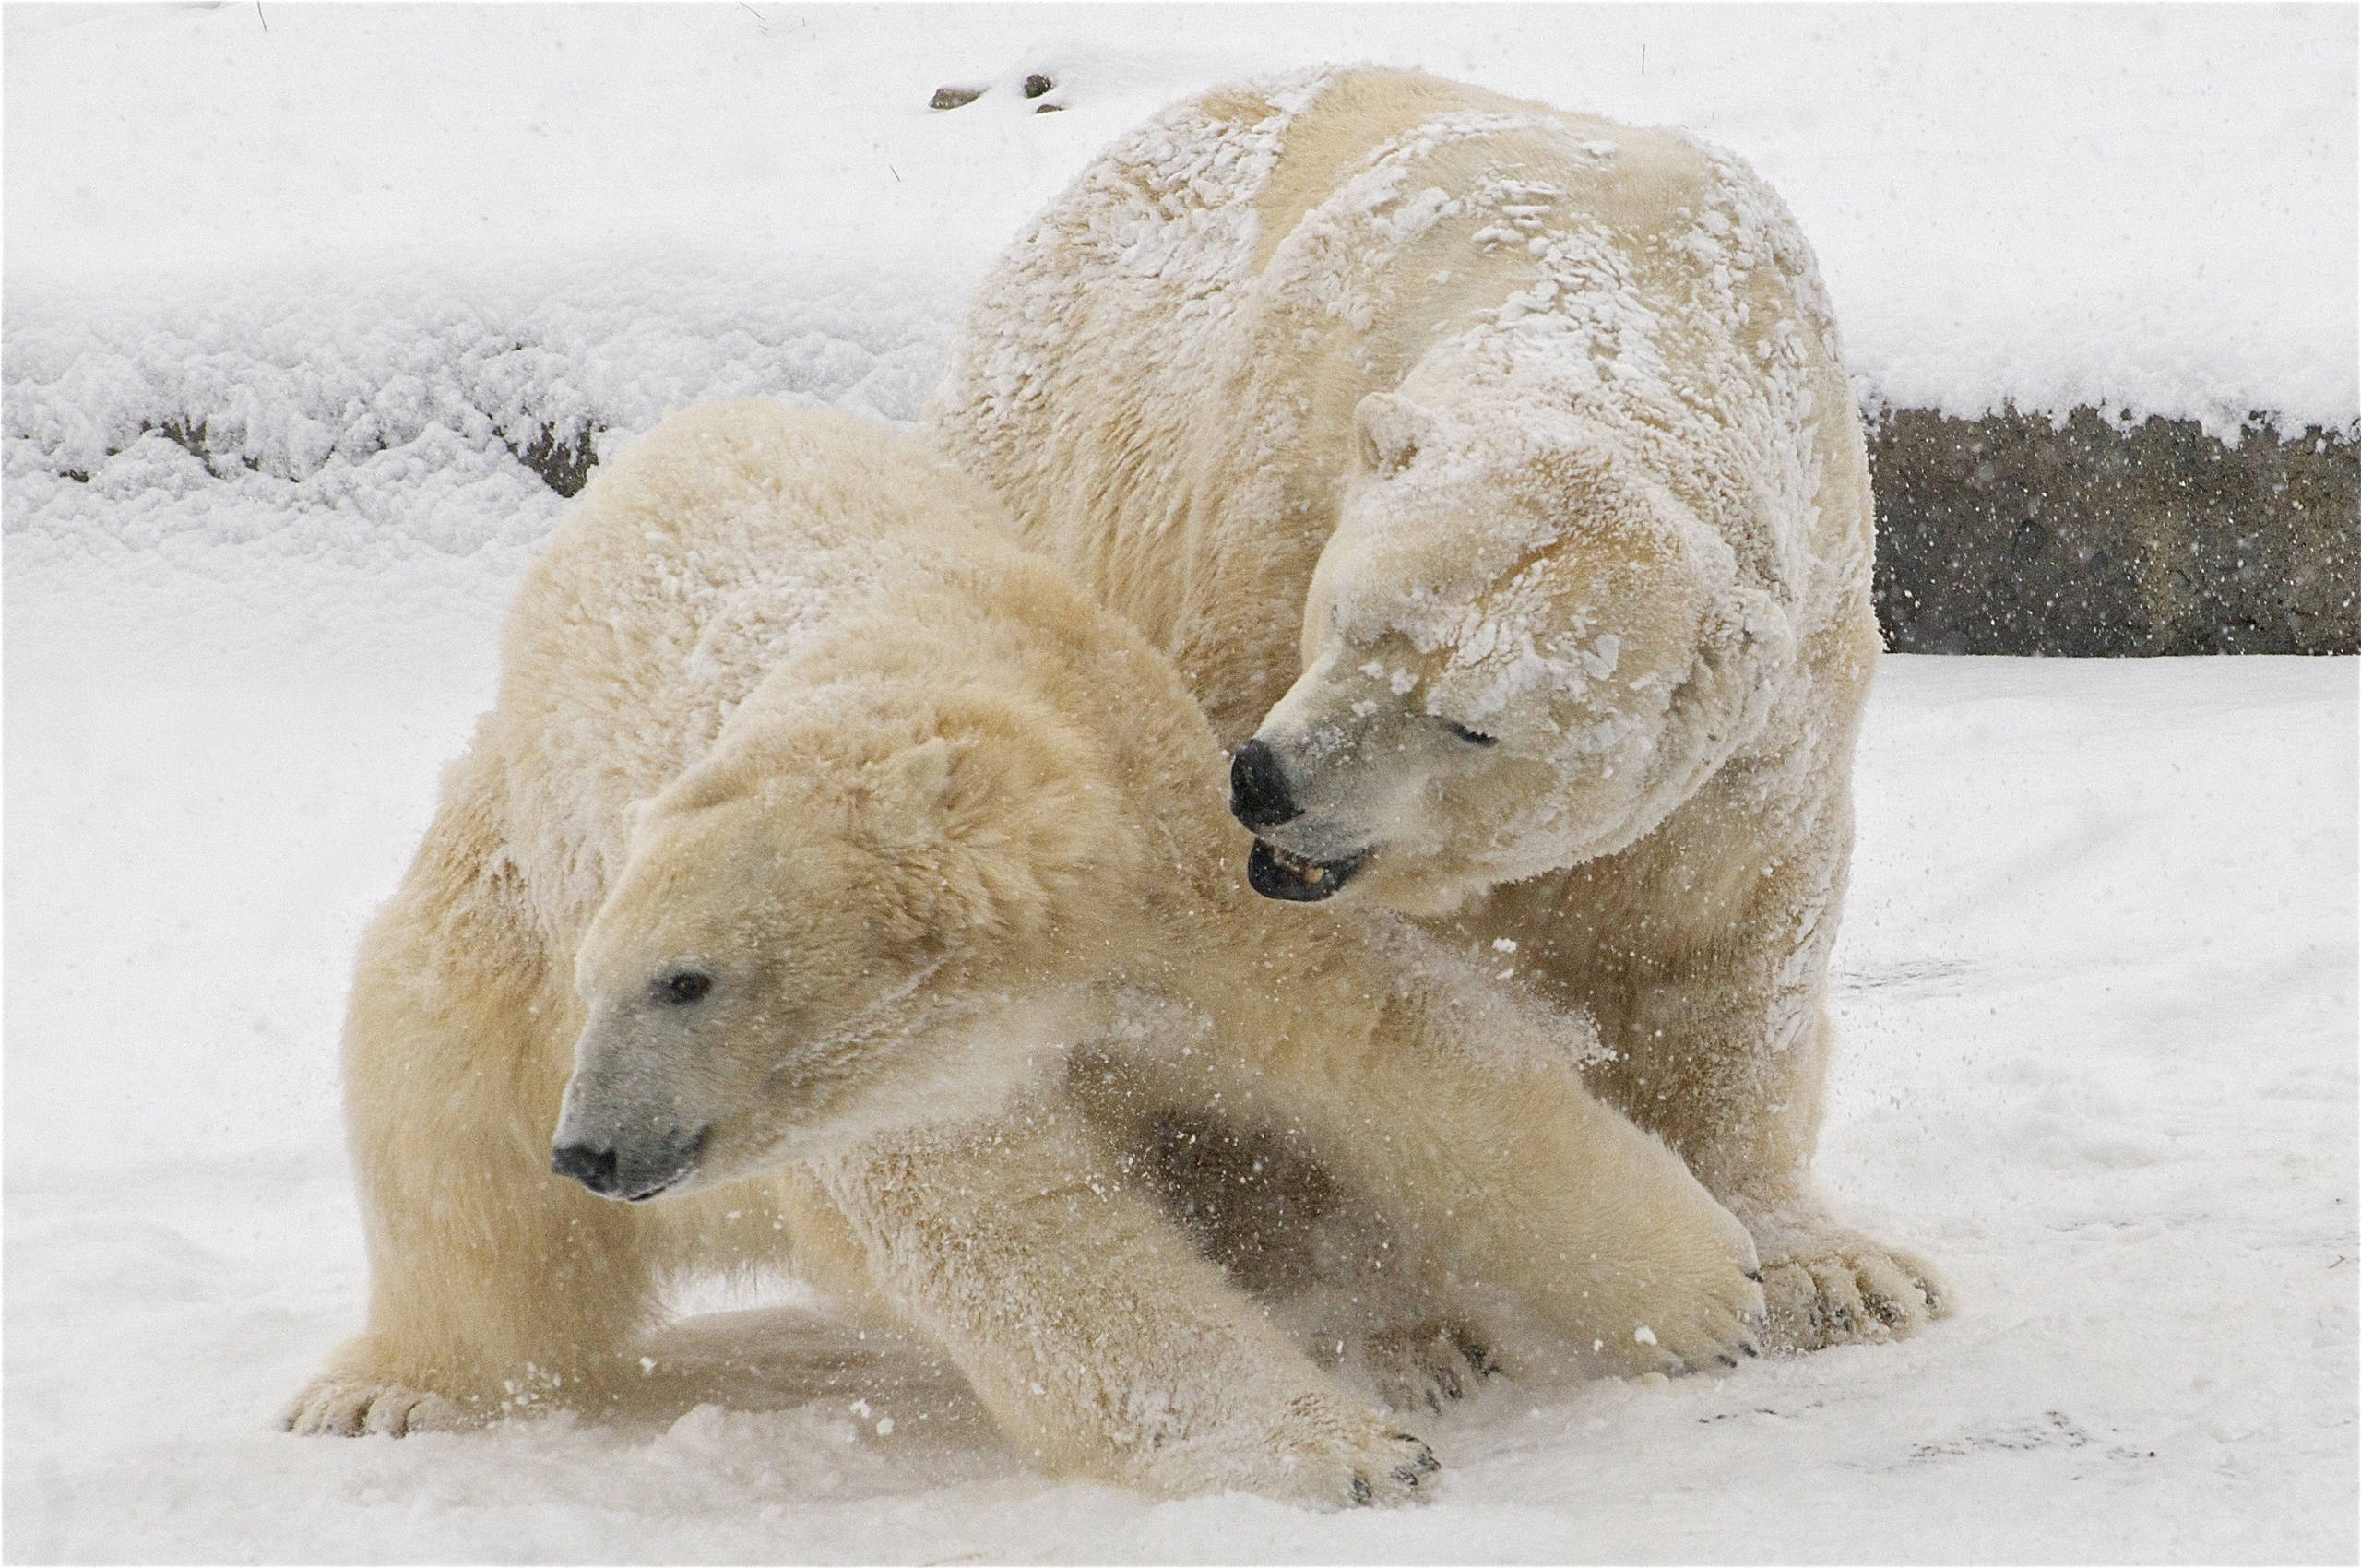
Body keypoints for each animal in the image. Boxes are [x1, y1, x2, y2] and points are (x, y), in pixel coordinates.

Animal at [282, 401, 1766, 1506]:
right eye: (625, 979)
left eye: (686, 980)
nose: (591, 1148)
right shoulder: (908, 1076)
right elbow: (1021, 1239)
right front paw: (1349, 1452)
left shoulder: (1171, 860)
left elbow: (1381, 1047)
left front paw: (1709, 1289)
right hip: (497, 912)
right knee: (443, 1129)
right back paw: (384, 1384)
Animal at [924, 67, 1948, 1348]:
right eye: (1348, 614)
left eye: (1472, 722)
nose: (1267, 780)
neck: (1610, 305)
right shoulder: (1264, 522)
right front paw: (1388, 1326)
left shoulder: (1790, 659)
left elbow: (1731, 926)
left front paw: (1836, 1271)